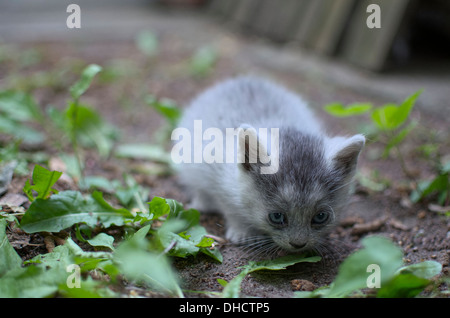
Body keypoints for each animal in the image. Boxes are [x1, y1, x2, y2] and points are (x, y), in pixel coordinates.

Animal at [173, 76, 366, 256]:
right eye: (276, 216)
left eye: (320, 217)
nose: (298, 245)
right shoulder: (221, 180)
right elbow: (231, 208)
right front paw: (241, 232)